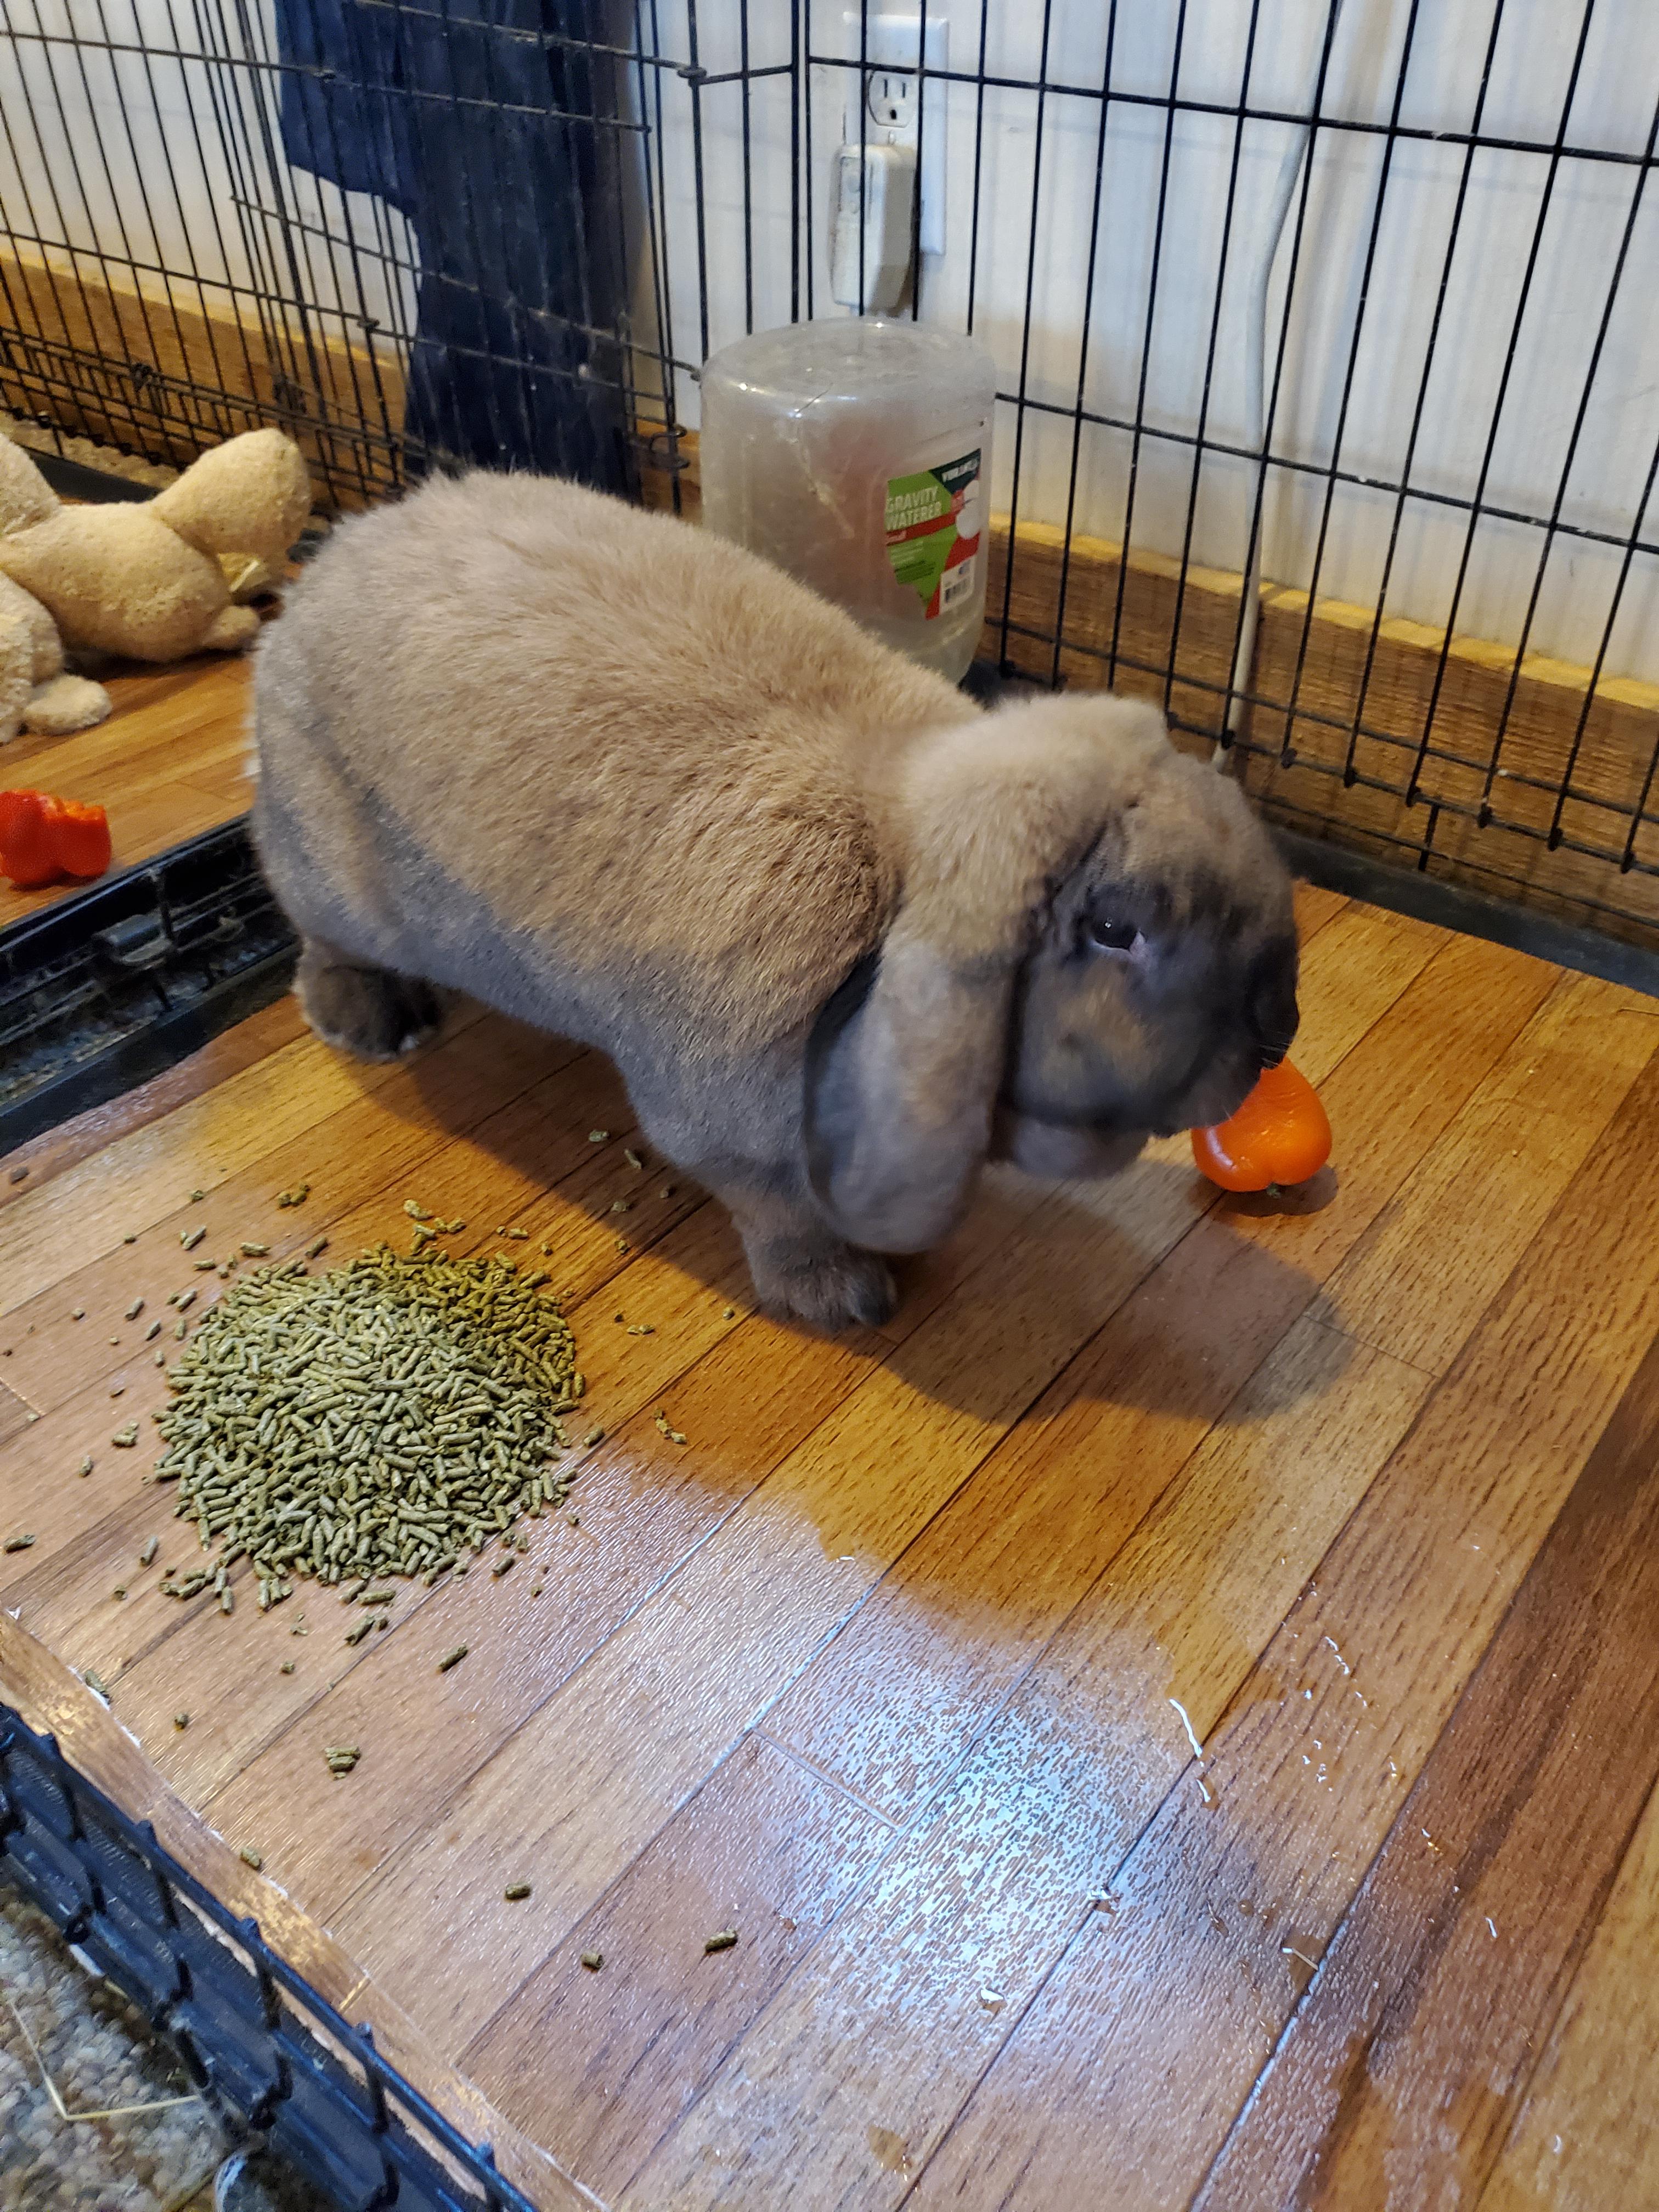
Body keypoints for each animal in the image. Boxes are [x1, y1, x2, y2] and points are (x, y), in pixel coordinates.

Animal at [253, 473, 1309, 1318]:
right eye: (1114, 928)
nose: (1279, 1033)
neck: (892, 875)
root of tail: (313, 584)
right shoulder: (735, 1133)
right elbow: (778, 1210)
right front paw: (839, 1297)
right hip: (330, 874)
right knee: (318, 934)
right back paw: (373, 1022)